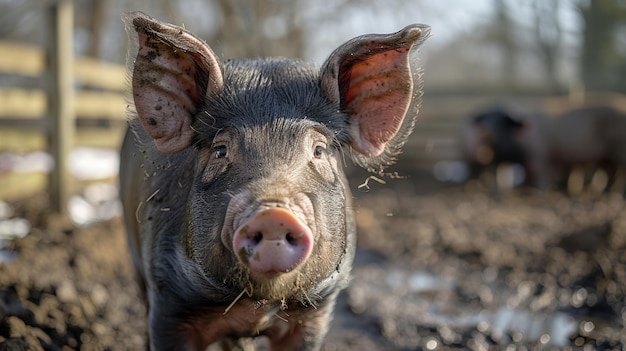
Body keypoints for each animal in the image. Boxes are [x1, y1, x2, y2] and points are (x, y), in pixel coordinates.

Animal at [117, 11, 428, 351]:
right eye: (220, 150)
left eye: (319, 150)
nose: (273, 214)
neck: (258, 305)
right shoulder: (168, 299)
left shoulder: (316, 312)